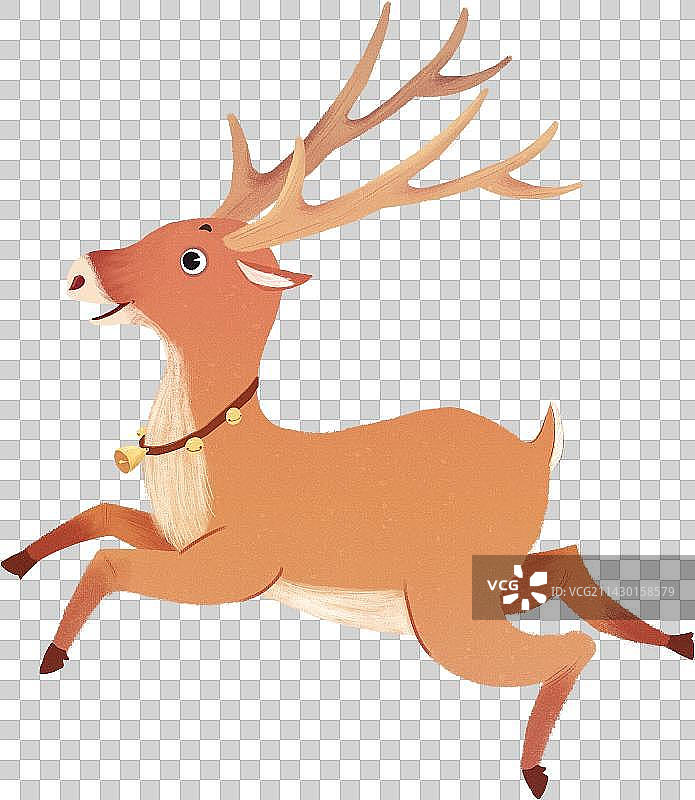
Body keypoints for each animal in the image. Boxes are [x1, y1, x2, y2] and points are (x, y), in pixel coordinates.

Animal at [4, 6, 692, 797]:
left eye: (192, 257)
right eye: (168, 226)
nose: (78, 272)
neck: (214, 465)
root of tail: (534, 450)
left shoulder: (243, 566)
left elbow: (109, 563)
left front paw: (52, 653)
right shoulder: (179, 538)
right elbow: (101, 515)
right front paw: (17, 561)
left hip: (441, 605)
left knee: (570, 645)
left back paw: (535, 767)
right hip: (496, 576)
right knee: (571, 563)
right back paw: (675, 638)